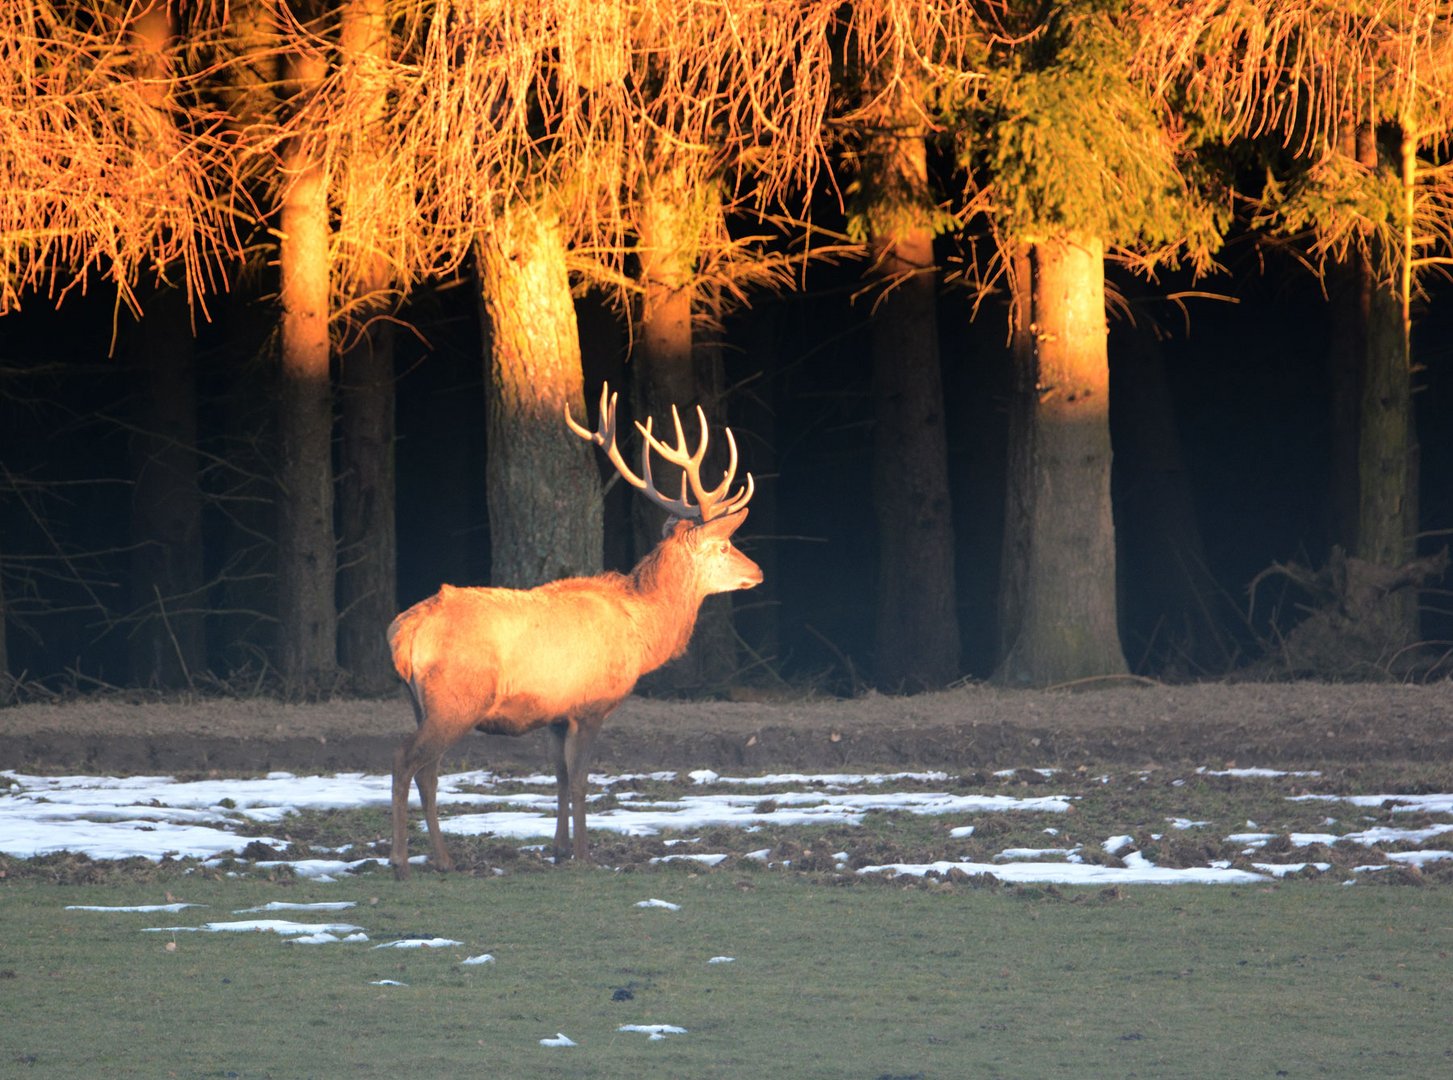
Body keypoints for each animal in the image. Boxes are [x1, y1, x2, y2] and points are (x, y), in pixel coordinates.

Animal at [386, 383, 761, 883]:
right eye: (723, 546)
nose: (757, 572)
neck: (643, 631)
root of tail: (402, 634)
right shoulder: (590, 703)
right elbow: (582, 779)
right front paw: (585, 853)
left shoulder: (557, 713)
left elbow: (560, 778)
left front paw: (559, 849)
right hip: (455, 698)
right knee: (406, 760)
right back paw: (402, 861)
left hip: (425, 703)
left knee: (428, 770)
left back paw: (444, 859)